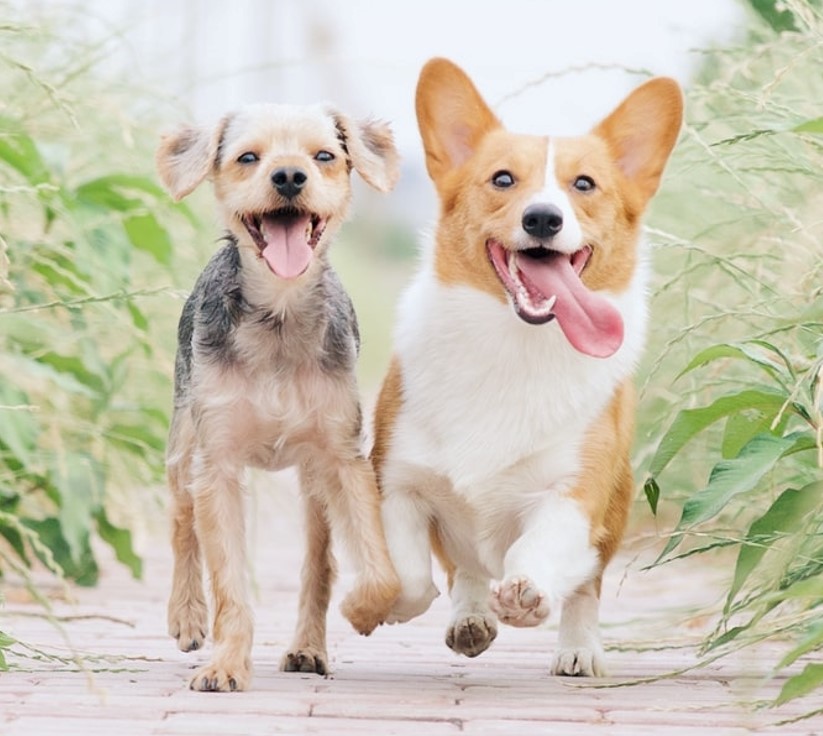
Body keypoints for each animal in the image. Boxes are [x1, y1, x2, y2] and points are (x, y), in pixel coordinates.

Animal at [157, 103, 402, 688]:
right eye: (248, 157)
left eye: (325, 156)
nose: (289, 176)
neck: (279, 315)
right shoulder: (217, 464)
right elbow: (227, 581)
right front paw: (225, 662)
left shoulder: (342, 458)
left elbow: (379, 569)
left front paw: (365, 610)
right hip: (183, 443)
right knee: (181, 522)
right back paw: (187, 615)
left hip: (313, 483)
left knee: (319, 562)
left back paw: (308, 648)